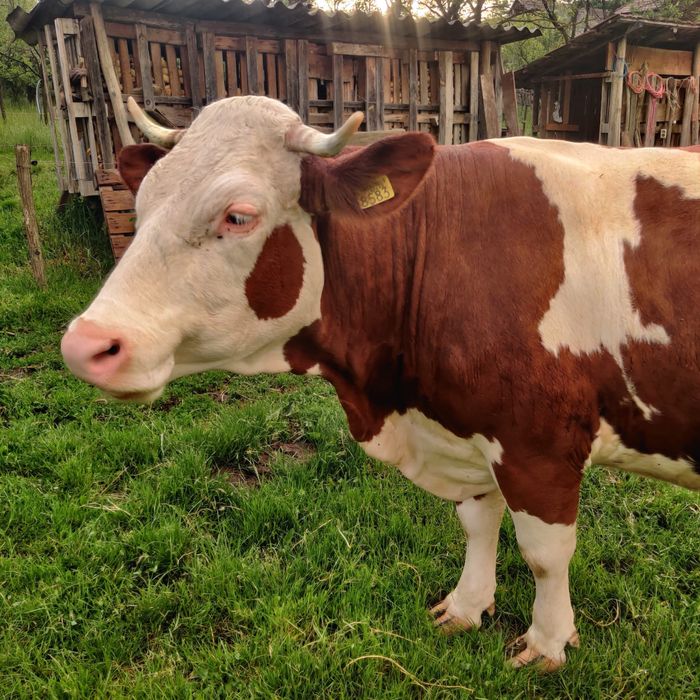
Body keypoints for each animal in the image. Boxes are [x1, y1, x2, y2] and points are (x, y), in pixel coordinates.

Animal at [61, 95, 700, 671]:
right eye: (143, 203)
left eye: (237, 215)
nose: (85, 346)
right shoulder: (472, 422)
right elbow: (477, 521)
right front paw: (466, 607)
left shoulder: (540, 443)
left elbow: (545, 553)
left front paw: (546, 643)